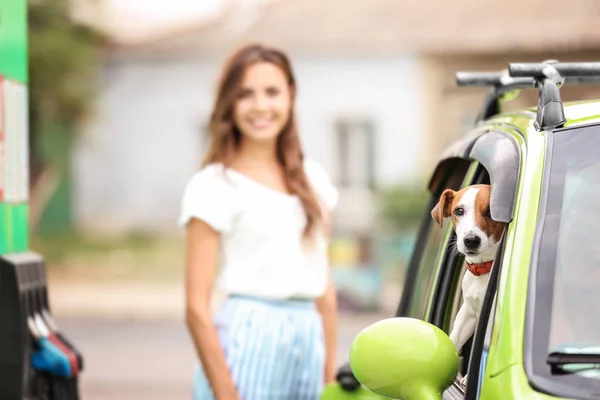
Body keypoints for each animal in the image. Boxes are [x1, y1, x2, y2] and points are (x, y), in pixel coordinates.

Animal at [432, 184, 506, 384]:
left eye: (491, 211)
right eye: (459, 211)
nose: (471, 240)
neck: (484, 269)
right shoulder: (469, 312)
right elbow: (455, 337)